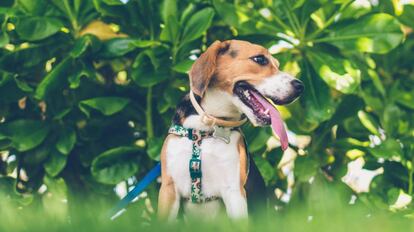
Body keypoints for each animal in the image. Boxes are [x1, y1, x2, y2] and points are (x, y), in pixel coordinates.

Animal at [157, 40, 302, 221]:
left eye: (277, 65)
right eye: (260, 59)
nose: (301, 86)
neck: (207, 128)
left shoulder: (234, 192)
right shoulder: (169, 190)